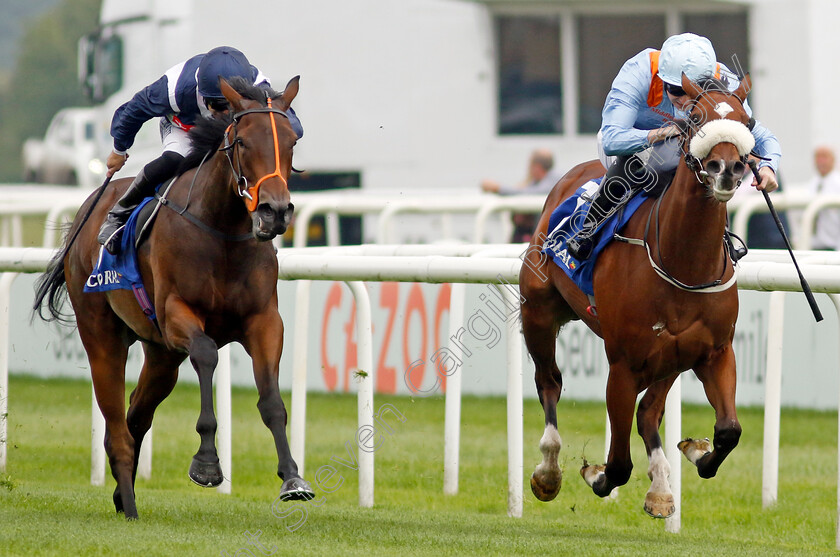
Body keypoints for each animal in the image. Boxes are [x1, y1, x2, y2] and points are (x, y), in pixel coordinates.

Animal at [32, 76, 316, 520]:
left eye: (290, 142)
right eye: (243, 142)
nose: (275, 211)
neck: (221, 230)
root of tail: (86, 211)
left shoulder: (264, 320)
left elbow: (271, 399)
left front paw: (292, 478)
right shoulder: (176, 314)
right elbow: (207, 354)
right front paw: (207, 464)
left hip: (161, 354)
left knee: (136, 414)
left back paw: (122, 494)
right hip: (101, 333)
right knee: (116, 425)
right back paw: (129, 506)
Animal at [524, 73, 756, 516]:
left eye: (748, 121)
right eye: (695, 118)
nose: (726, 168)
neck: (683, 261)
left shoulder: (714, 352)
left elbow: (730, 430)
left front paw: (697, 452)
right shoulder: (623, 365)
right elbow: (617, 464)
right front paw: (594, 474)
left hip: (671, 357)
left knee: (649, 411)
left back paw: (662, 486)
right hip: (538, 313)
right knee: (549, 381)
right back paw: (549, 470)